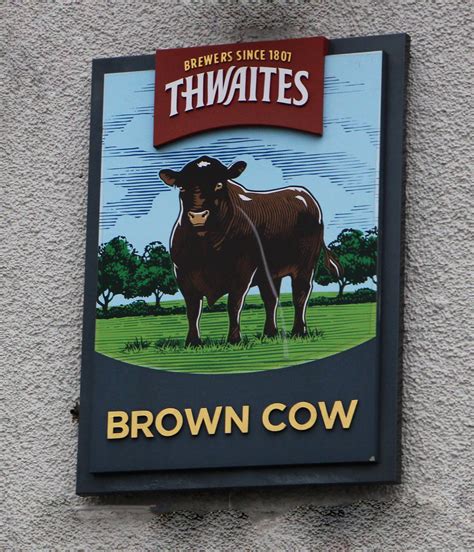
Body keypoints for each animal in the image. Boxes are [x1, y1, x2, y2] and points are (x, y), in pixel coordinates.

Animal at [159, 156, 340, 344]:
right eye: (182, 187)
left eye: (219, 184)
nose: (198, 216)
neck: (206, 247)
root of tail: (303, 194)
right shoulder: (182, 274)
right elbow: (193, 309)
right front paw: (193, 342)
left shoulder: (242, 272)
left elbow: (234, 305)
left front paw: (234, 339)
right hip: (271, 273)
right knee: (271, 299)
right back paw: (270, 332)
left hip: (306, 265)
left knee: (300, 295)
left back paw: (299, 331)